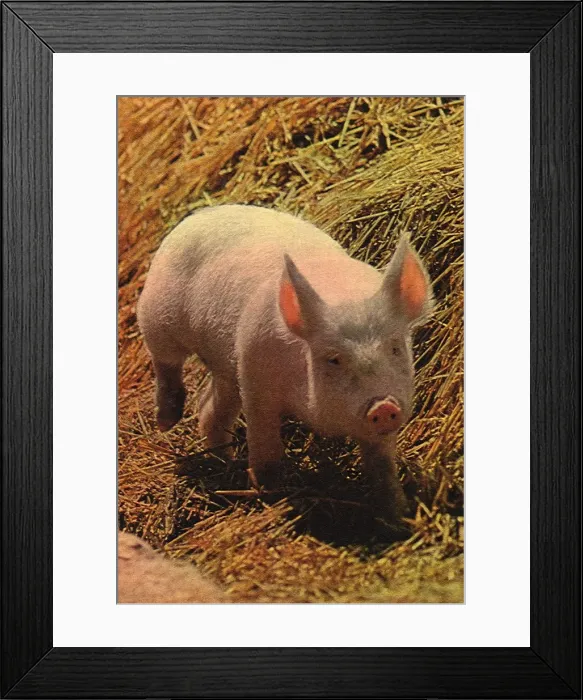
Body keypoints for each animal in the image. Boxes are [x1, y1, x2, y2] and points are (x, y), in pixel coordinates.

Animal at [137, 205, 433, 524]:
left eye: (395, 348)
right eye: (333, 358)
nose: (384, 406)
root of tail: (207, 212)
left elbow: (382, 467)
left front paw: (399, 515)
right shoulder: (256, 380)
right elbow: (266, 445)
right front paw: (270, 493)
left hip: (229, 368)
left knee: (208, 409)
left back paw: (223, 461)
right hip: (156, 314)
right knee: (166, 362)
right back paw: (166, 421)